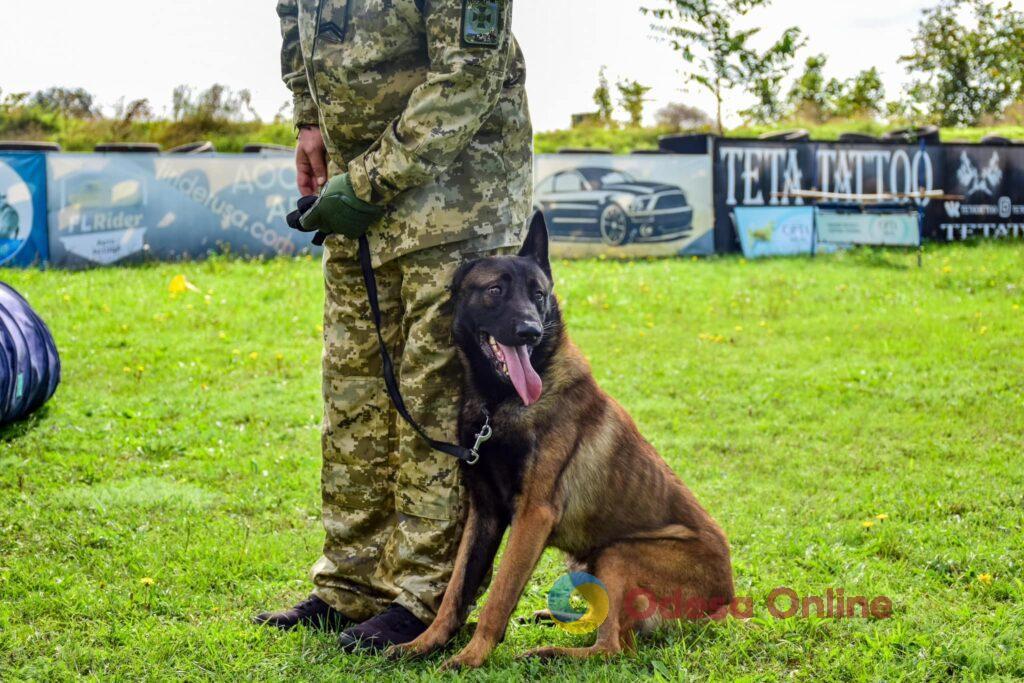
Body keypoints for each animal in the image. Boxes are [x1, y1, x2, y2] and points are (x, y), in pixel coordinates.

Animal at [387, 211, 733, 667]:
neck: (499, 403)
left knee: (613, 648)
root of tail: (727, 602)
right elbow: (456, 590)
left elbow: (497, 597)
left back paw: (549, 651)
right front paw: (424, 643)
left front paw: (471, 656)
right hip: (586, 559)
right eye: (495, 290)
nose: (530, 332)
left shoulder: (533, 515)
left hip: (618, 554)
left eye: (538, 295)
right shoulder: (485, 513)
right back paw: (554, 618)